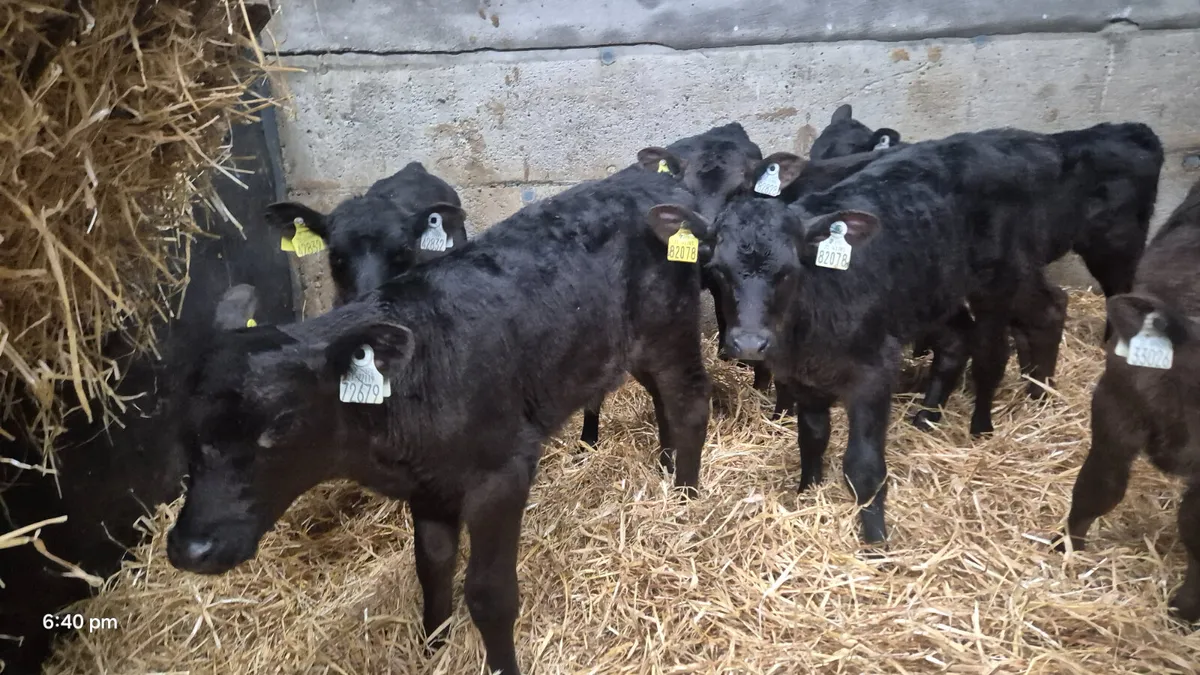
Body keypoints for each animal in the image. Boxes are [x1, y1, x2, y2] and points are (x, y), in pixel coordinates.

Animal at [648, 128, 1066, 544]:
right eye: (721, 270)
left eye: (789, 270)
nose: (750, 342)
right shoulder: (802, 376)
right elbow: (811, 437)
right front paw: (808, 493)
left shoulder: (875, 372)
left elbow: (863, 466)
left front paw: (876, 541)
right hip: (935, 292)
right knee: (959, 340)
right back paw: (932, 415)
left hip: (1003, 277)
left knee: (1027, 327)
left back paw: (1012, 411)